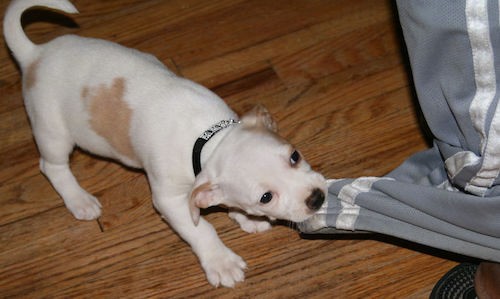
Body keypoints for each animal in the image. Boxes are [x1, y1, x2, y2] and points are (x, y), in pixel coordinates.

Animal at [3, 0, 328, 290]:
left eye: (295, 156)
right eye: (265, 197)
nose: (316, 198)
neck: (208, 139)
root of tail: (35, 54)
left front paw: (245, 218)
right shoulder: (169, 200)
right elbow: (202, 229)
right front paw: (221, 261)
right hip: (53, 132)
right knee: (52, 167)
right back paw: (79, 199)